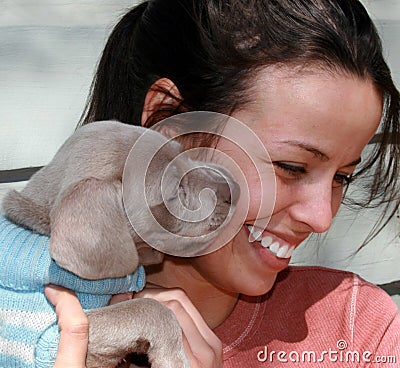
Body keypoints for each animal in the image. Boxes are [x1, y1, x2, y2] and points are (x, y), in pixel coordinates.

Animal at [0, 121, 238, 368]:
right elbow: (150, 308)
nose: (235, 188)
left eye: (184, 153)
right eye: (175, 193)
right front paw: (173, 358)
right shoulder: (47, 341)